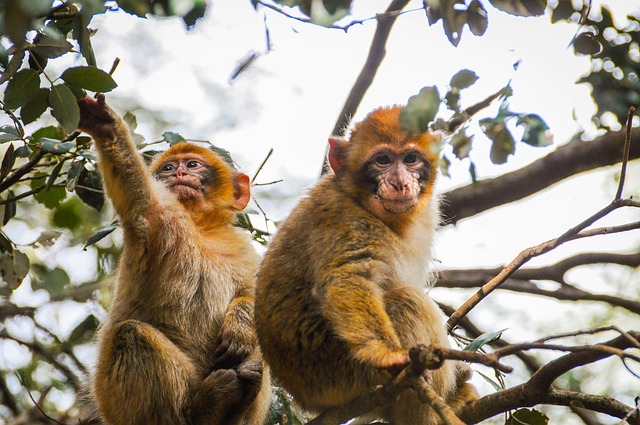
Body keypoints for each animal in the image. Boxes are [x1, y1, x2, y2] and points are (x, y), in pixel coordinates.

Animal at [76, 94, 271, 425]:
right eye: (167, 168)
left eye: (192, 165)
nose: (178, 173)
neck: (200, 229)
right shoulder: (162, 221)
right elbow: (140, 203)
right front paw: (107, 127)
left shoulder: (241, 246)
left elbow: (261, 298)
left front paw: (240, 326)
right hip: (119, 405)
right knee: (130, 334)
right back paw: (205, 408)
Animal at [254, 105, 477, 424]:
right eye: (382, 160)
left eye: (411, 159)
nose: (399, 183)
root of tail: (305, 399)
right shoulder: (344, 219)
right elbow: (348, 278)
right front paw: (385, 353)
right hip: (341, 376)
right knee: (406, 301)